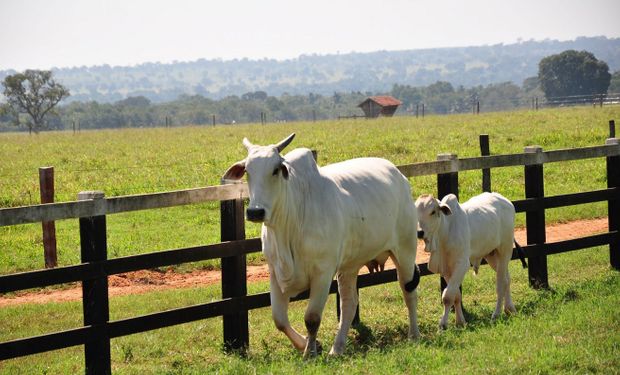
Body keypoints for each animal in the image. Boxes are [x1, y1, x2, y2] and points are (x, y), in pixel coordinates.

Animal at [223, 134, 422, 356]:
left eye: (275, 170)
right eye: (248, 171)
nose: (255, 212)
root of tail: (399, 175)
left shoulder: (323, 274)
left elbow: (311, 318)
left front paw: (309, 353)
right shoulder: (275, 272)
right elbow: (280, 320)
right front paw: (308, 345)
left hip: (405, 250)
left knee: (409, 291)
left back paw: (414, 335)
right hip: (350, 266)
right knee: (349, 304)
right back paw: (337, 348)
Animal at [414, 192, 524, 330]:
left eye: (433, 212)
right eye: (415, 211)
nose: (419, 232)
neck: (444, 232)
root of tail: (506, 201)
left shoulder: (461, 264)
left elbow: (447, 296)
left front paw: (443, 325)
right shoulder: (446, 269)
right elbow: (456, 296)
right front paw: (460, 322)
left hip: (505, 249)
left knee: (501, 283)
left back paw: (496, 314)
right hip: (492, 255)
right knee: (507, 279)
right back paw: (510, 309)